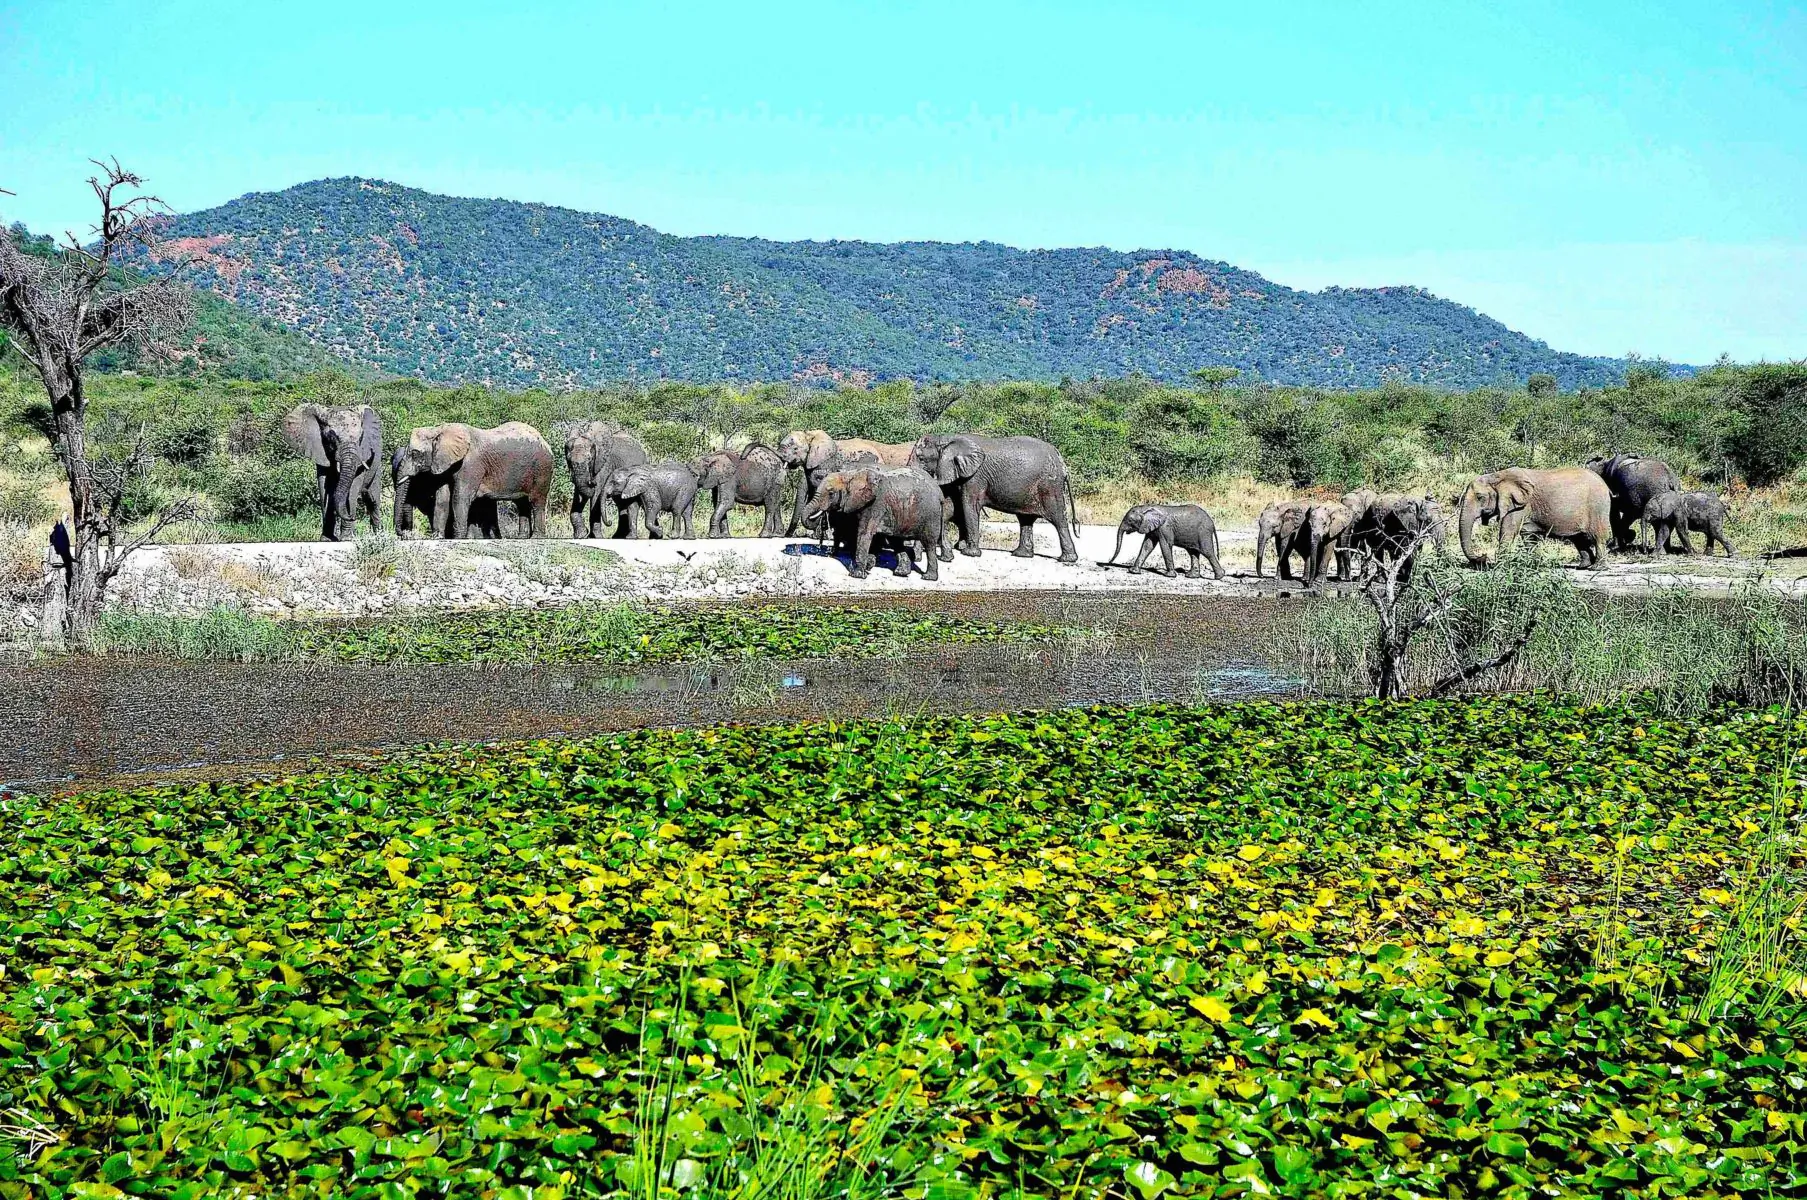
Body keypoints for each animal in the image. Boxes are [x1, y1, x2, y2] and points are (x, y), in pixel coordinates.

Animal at [283, 403, 383, 541]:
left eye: (360, 437)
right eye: (331, 437)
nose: (353, 516)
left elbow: (353, 487)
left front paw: (346, 539)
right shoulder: (320, 451)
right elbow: (324, 485)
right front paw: (327, 539)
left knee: (373, 499)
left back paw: (378, 536)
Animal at [393, 422, 553, 540]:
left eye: (415, 453)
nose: (404, 534)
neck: (439, 429)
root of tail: (545, 441)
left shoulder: (471, 465)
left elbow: (460, 497)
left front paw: (458, 538)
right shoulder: (443, 464)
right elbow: (442, 498)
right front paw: (437, 538)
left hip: (542, 468)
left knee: (537, 501)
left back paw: (537, 537)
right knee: (522, 503)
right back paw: (521, 538)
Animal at [803, 466, 947, 581]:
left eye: (831, 493)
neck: (850, 474)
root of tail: (940, 493)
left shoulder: (874, 504)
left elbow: (864, 534)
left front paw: (857, 575)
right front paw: (868, 566)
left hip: (931, 515)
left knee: (929, 544)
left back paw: (928, 577)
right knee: (896, 541)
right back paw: (901, 573)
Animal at [909, 434, 1080, 563]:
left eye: (921, 458)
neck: (946, 437)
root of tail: (1062, 462)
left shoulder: (975, 476)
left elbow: (968, 505)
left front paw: (969, 553)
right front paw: (961, 548)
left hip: (1049, 486)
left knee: (1058, 519)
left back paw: (1067, 559)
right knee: (1025, 520)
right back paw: (1021, 554)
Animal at [1459, 467, 1612, 568]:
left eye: (1480, 497)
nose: (1483, 558)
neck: (1497, 476)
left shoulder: (1520, 504)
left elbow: (1508, 530)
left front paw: (1500, 565)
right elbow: (1528, 536)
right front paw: (1530, 563)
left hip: (1598, 507)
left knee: (1598, 537)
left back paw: (1597, 567)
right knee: (1579, 539)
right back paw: (1583, 566)